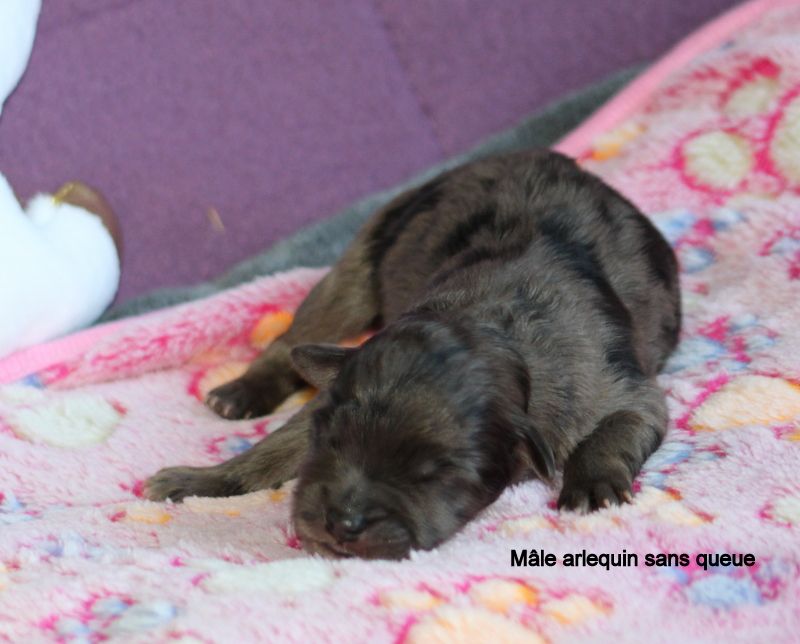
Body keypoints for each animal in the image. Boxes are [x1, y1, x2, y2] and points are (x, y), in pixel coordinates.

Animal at [145, 150, 680, 560]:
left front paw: (592, 484)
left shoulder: (620, 390)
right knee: (291, 340)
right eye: (328, 442)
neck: (486, 326)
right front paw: (201, 482)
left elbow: (616, 429)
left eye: (433, 473)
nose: (342, 523)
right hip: (361, 263)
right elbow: (274, 447)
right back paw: (240, 392)